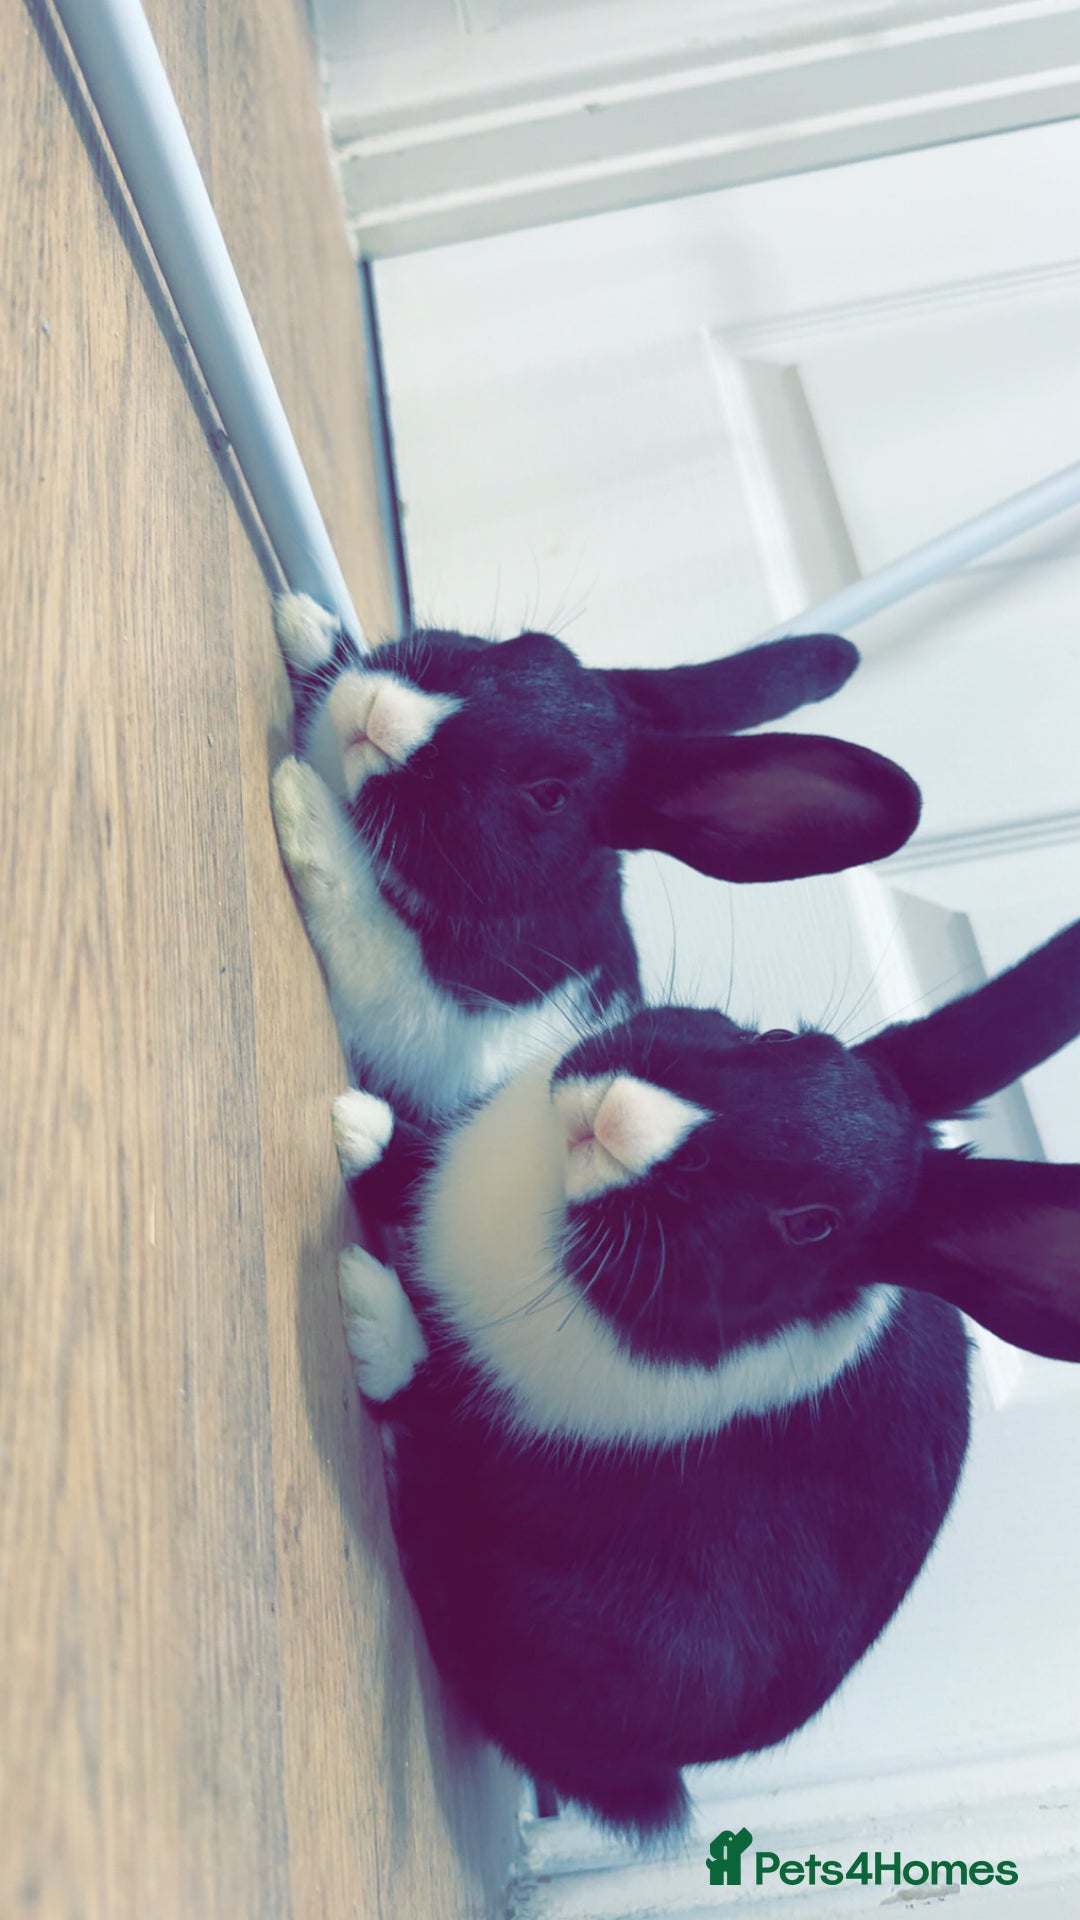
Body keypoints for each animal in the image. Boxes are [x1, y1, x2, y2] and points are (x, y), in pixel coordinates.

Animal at [270, 594, 920, 1125]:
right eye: (528, 643)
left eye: (550, 795)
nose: (382, 714)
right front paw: (306, 623)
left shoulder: (431, 1026)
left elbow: (364, 928)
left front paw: (306, 807)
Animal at [329, 914, 1080, 1844]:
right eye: (784, 1038)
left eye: (810, 1224)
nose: (618, 1114)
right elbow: (419, 1170)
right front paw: (363, 1130)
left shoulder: (510, 1437)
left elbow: (432, 1390)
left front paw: (369, 1306)